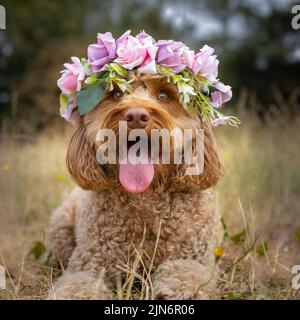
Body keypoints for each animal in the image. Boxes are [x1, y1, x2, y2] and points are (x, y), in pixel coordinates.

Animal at [46, 75, 223, 300]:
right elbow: (78, 284)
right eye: (116, 93)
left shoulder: (195, 257)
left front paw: (178, 290)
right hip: (60, 227)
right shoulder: (89, 262)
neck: (145, 196)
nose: (136, 116)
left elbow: (186, 274)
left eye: (164, 95)